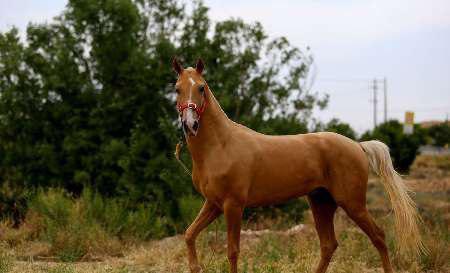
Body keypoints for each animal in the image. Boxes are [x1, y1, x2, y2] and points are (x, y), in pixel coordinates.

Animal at [171, 58, 424, 272]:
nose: (190, 124)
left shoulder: (233, 205)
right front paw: (195, 267)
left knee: (378, 237)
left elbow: (232, 251)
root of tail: (357, 145)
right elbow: (189, 234)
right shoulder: (213, 204)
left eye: (201, 87)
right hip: (321, 202)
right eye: (177, 88)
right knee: (329, 245)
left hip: (352, 204)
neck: (222, 145)